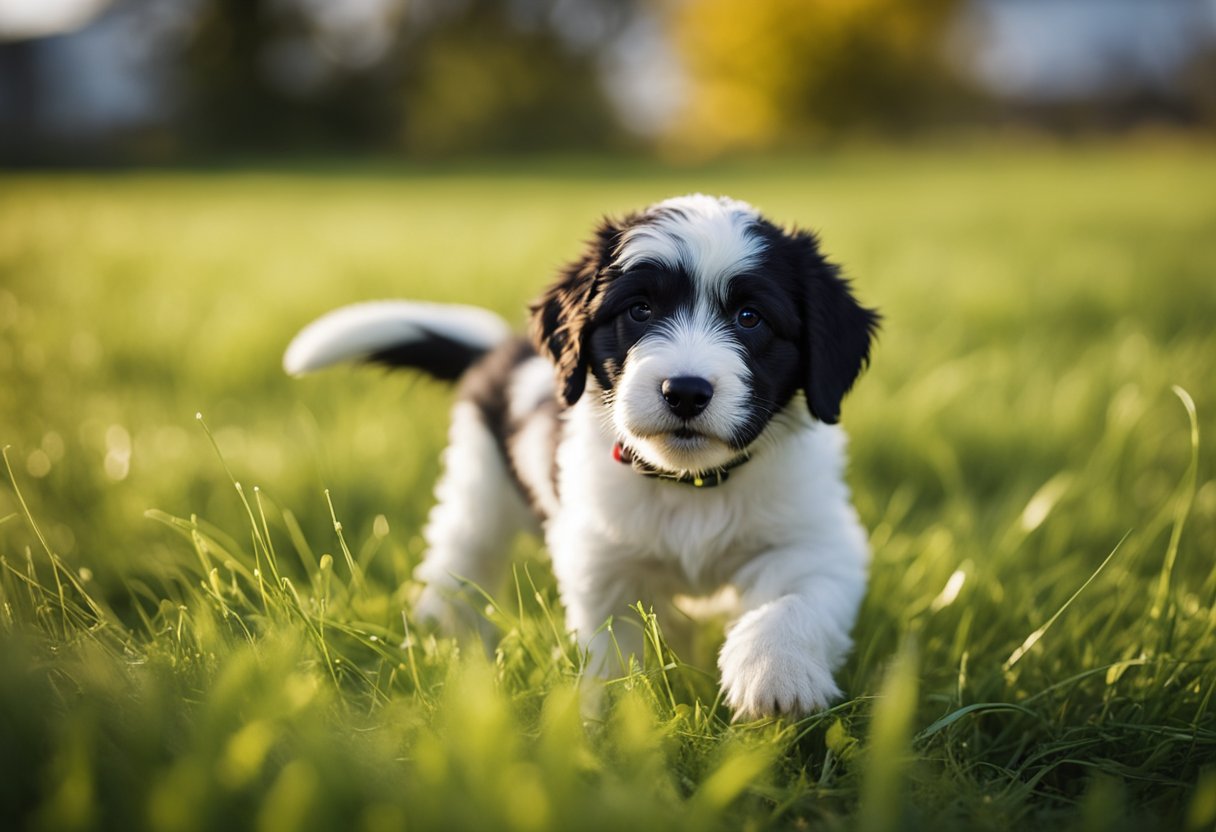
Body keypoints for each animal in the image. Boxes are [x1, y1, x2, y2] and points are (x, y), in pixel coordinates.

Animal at [289, 197, 880, 720]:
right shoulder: (603, 561)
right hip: (479, 485)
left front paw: (772, 675)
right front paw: (616, 722)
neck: (689, 485)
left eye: (750, 317)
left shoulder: (815, 538)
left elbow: (795, 599)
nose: (685, 391)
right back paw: (445, 642)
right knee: (461, 559)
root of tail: (501, 351)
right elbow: (616, 652)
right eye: (639, 310)